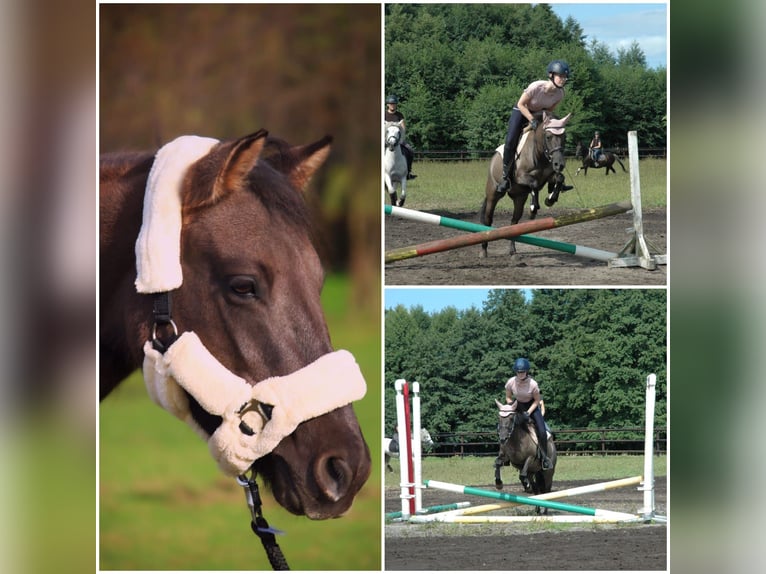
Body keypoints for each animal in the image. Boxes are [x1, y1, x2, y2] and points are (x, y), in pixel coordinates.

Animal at [484, 111, 572, 258]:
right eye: (548, 137)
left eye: (564, 137)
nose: (559, 164)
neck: (539, 153)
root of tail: (493, 159)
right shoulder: (521, 177)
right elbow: (534, 184)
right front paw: (533, 208)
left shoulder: (549, 175)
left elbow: (559, 178)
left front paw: (550, 199)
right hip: (493, 194)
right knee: (488, 219)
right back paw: (483, 250)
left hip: (519, 198)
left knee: (514, 222)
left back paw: (512, 250)